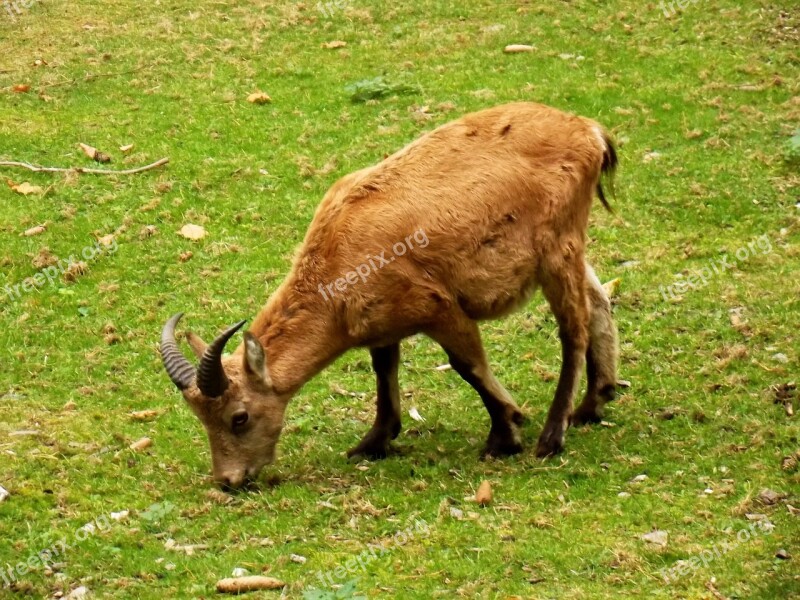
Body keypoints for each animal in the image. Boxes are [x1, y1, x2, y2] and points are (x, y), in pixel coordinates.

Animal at [158, 102, 620, 488]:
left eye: (239, 417)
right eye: (202, 418)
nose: (228, 480)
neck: (339, 258)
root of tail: (589, 132)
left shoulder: (438, 308)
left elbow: (467, 365)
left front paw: (505, 434)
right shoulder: (381, 325)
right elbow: (384, 369)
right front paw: (373, 442)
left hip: (557, 249)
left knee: (574, 328)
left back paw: (553, 435)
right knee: (599, 304)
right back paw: (592, 405)